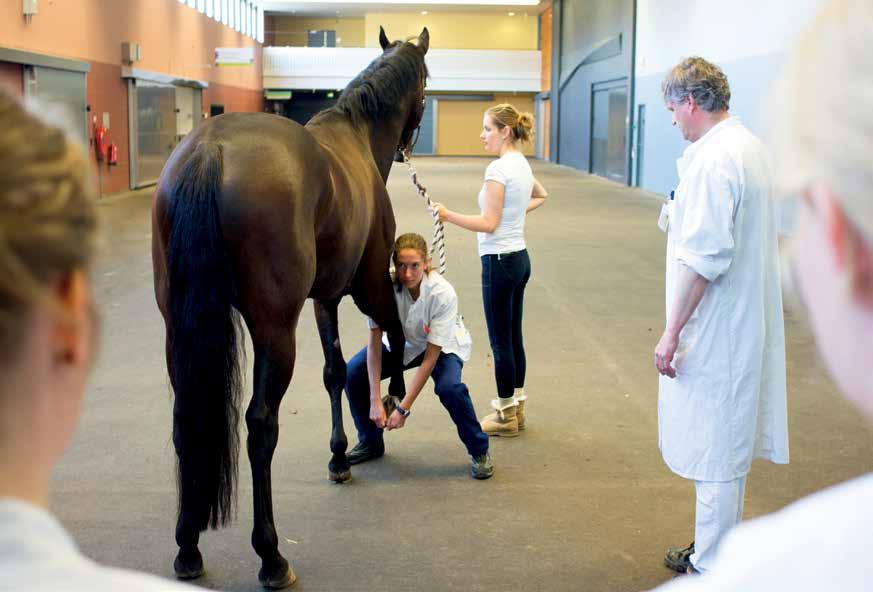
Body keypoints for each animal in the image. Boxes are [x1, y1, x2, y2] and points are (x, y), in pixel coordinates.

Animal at [154, 26, 432, 588]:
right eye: (426, 80)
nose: (412, 140)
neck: (356, 138)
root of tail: (209, 151)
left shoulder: (324, 297)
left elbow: (332, 371)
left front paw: (339, 457)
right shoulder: (369, 285)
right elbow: (393, 332)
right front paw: (392, 397)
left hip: (179, 329)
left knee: (184, 417)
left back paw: (188, 545)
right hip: (275, 332)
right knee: (260, 425)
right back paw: (272, 556)